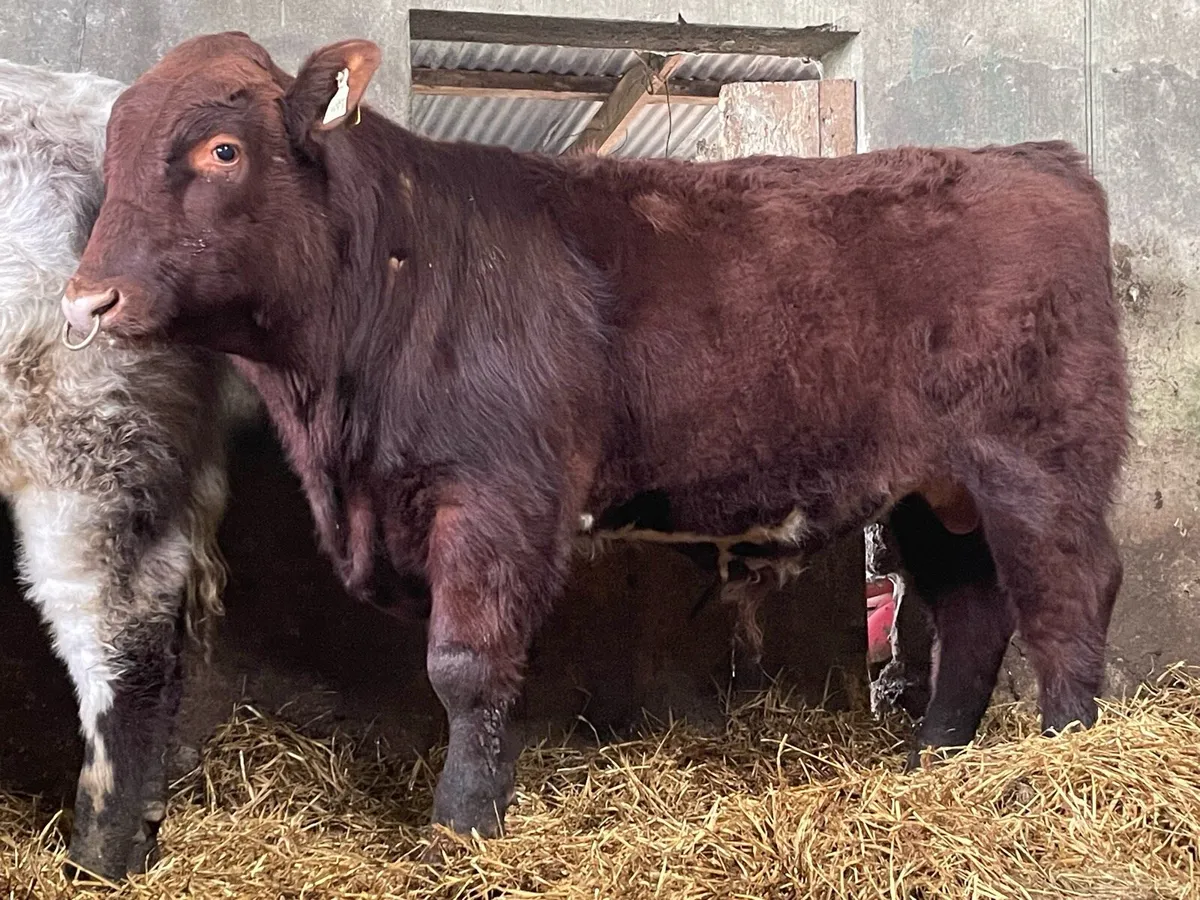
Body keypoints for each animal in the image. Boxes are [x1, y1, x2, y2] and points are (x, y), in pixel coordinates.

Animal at [62, 32, 1129, 842]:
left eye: (222, 151)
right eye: (110, 156)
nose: (87, 299)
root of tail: (1036, 159)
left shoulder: (498, 495)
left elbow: (466, 667)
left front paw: (462, 825)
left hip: (1040, 454)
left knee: (1068, 588)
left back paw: (1067, 756)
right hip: (931, 486)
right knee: (973, 607)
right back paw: (933, 761)